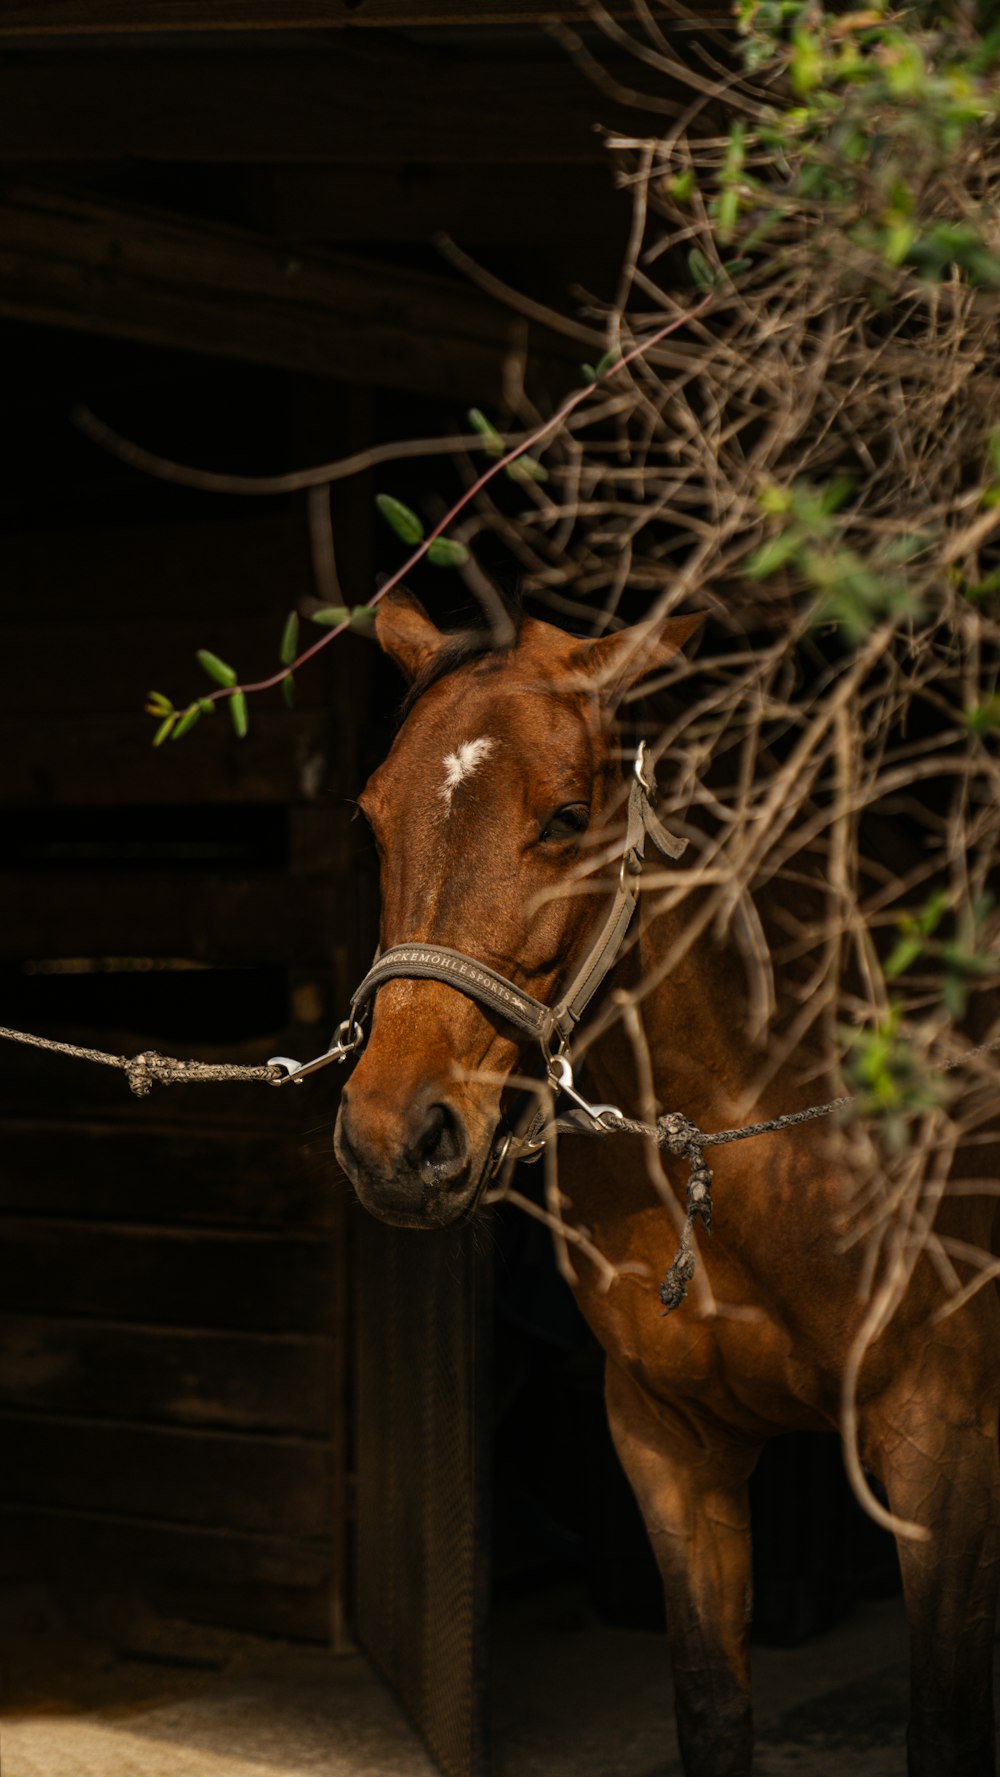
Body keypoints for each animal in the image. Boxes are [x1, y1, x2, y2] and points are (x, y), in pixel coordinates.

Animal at [339, 593, 1000, 1777]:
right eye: (371, 820)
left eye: (566, 817)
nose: (391, 1141)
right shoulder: (669, 1445)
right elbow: (710, 1707)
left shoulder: (945, 1449)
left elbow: (947, 1726)